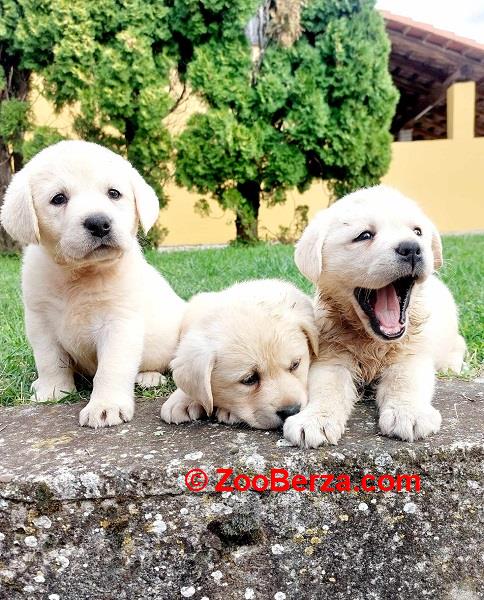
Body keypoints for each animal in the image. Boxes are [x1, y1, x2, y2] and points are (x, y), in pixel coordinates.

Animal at [0, 140, 185, 428]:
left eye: (114, 193)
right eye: (58, 198)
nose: (99, 223)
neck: (79, 275)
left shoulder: (119, 322)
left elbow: (111, 368)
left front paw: (106, 406)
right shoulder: (40, 322)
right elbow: (49, 360)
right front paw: (53, 391)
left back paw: (149, 376)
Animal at [284, 185, 466, 448]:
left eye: (417, 232)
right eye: (365, 235)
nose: (412, 248)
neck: (372, 341)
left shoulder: (410, 354)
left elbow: (405, 381)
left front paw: (409, 413)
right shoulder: (331, 356)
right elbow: (328, 387)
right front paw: (315, 419)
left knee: (458, 344)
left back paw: (452, 365)